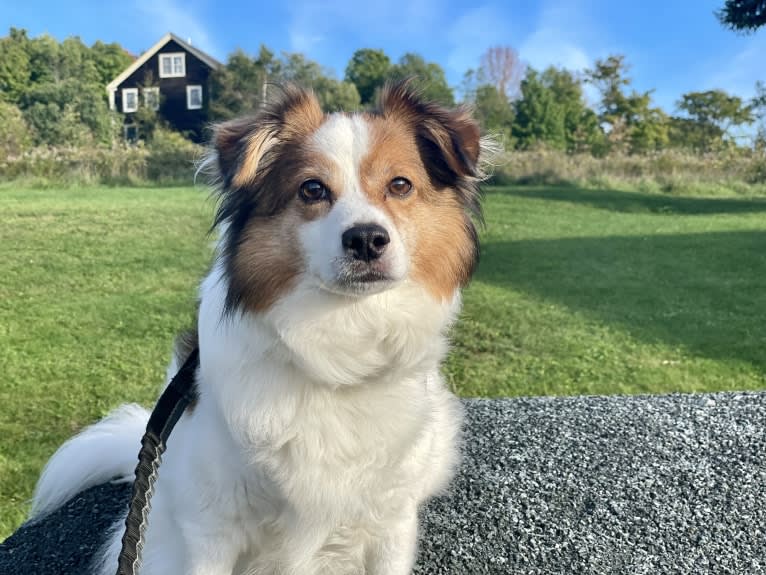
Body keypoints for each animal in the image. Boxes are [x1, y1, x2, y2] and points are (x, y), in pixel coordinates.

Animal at [30, 82, 492, 575]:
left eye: (400, 185)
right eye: (312, 189)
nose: (367, 239)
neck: (339, 345)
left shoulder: (391, 520)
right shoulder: (210, 526)